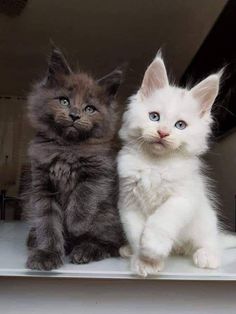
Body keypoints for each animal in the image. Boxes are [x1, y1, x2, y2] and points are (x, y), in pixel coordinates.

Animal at [117, 52, 235, 276]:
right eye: (154, 117)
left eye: (180, 125)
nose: (163, 132)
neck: (155, 164)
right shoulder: (128, 202)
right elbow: (136, 233)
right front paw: (144, 261)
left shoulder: (183, 198)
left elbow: (162, 219)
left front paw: (153, 248)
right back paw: (128, 250)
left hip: (205, 221)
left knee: (210, 241)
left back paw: (207, 256)